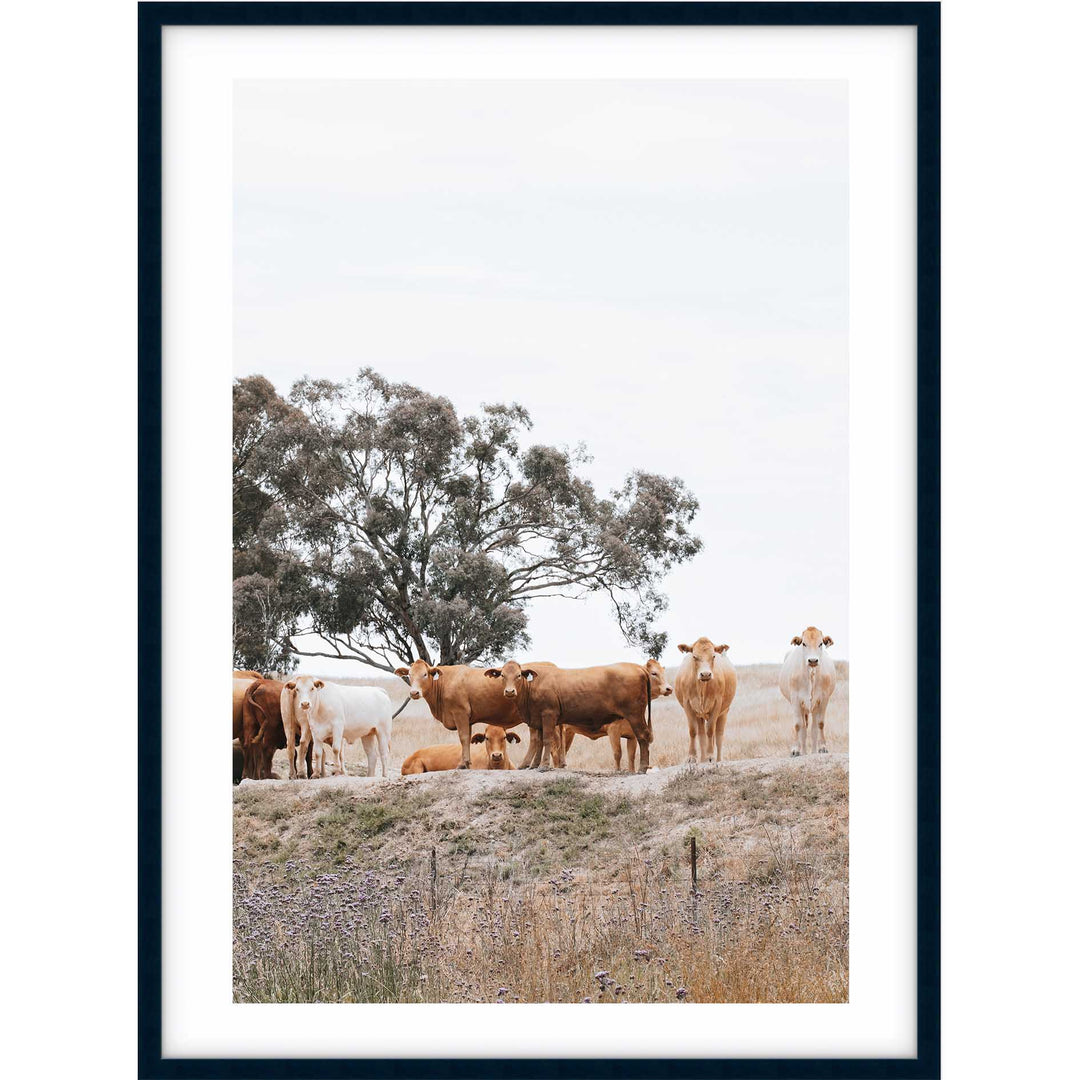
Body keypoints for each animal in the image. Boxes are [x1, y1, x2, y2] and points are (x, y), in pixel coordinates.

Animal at [393, 659, 555, 769]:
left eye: (425, 674)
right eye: (409, 674)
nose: (414, 692)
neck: (445, 682)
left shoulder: (460, 713)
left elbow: (463, 738)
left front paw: (462, 764)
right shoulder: (467, 719)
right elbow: (468, 738)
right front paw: (467, 762)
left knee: (536, 739)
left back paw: (526, 764)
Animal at [484, 661, 655, 773]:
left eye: (519, 675)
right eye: (502, 675)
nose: (509, 691)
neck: (533, 686)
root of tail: (638, 667)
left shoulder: (549, 715)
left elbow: (546, 740)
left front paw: (544, 766)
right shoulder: (538, 720)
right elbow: (538, 742)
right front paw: (534, 765)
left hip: (635, 715)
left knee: (643, 736)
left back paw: (642, 768)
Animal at [779, 627, 836, 756]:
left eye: (820, 644)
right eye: (804, 644)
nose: (813, 660)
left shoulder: (823, 699)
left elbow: (820, 724)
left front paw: (822, 748)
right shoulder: (795, 700)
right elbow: (798, 725)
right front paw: (797, 750)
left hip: (814, 707)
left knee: (813, 728)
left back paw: (813, 751)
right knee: (803, 728)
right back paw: (802, 751)